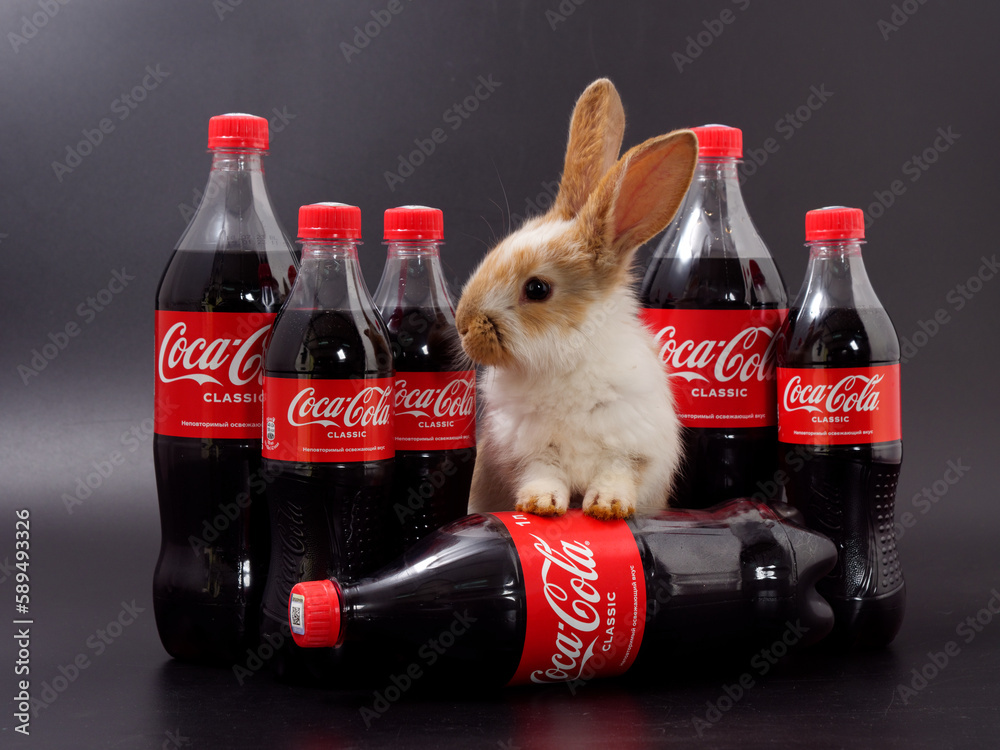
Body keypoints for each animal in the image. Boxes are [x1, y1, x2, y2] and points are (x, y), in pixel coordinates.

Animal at [455, 78, 698, 520]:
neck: (567, 361)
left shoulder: (632, 450)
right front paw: (539, 506)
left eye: (537, 288)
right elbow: (543, 476)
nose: (462, 324)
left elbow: (616, 476)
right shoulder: (529, 452)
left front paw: (608, 509)